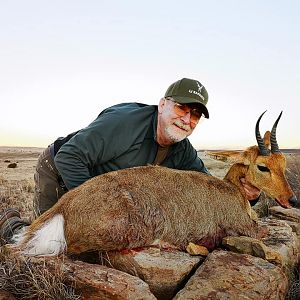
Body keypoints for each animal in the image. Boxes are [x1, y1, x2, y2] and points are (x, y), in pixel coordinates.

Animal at [13, 111, 296, 256]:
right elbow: (262, 231)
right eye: (262, 166)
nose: (291, 199)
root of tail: (63, 208)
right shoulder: (246, 229)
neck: (232, 190)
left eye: (283, 163)